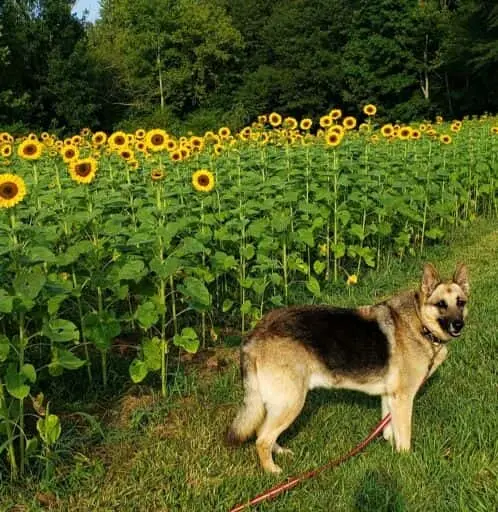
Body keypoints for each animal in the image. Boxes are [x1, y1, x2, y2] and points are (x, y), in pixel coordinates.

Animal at [228, 264, 468, 472]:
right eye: (441, 304)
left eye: (461, 303)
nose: (459, 324)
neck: (420, 323)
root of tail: (256, 333)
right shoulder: (403, 399)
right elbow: (404, 437)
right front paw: (405, 461)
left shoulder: (390, 396)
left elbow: (388, 428)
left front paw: (390, 448)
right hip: (291, 401)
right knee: (262, 439)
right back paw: (273, 471)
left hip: (280, 402)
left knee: (264, 431)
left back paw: (280, 453)